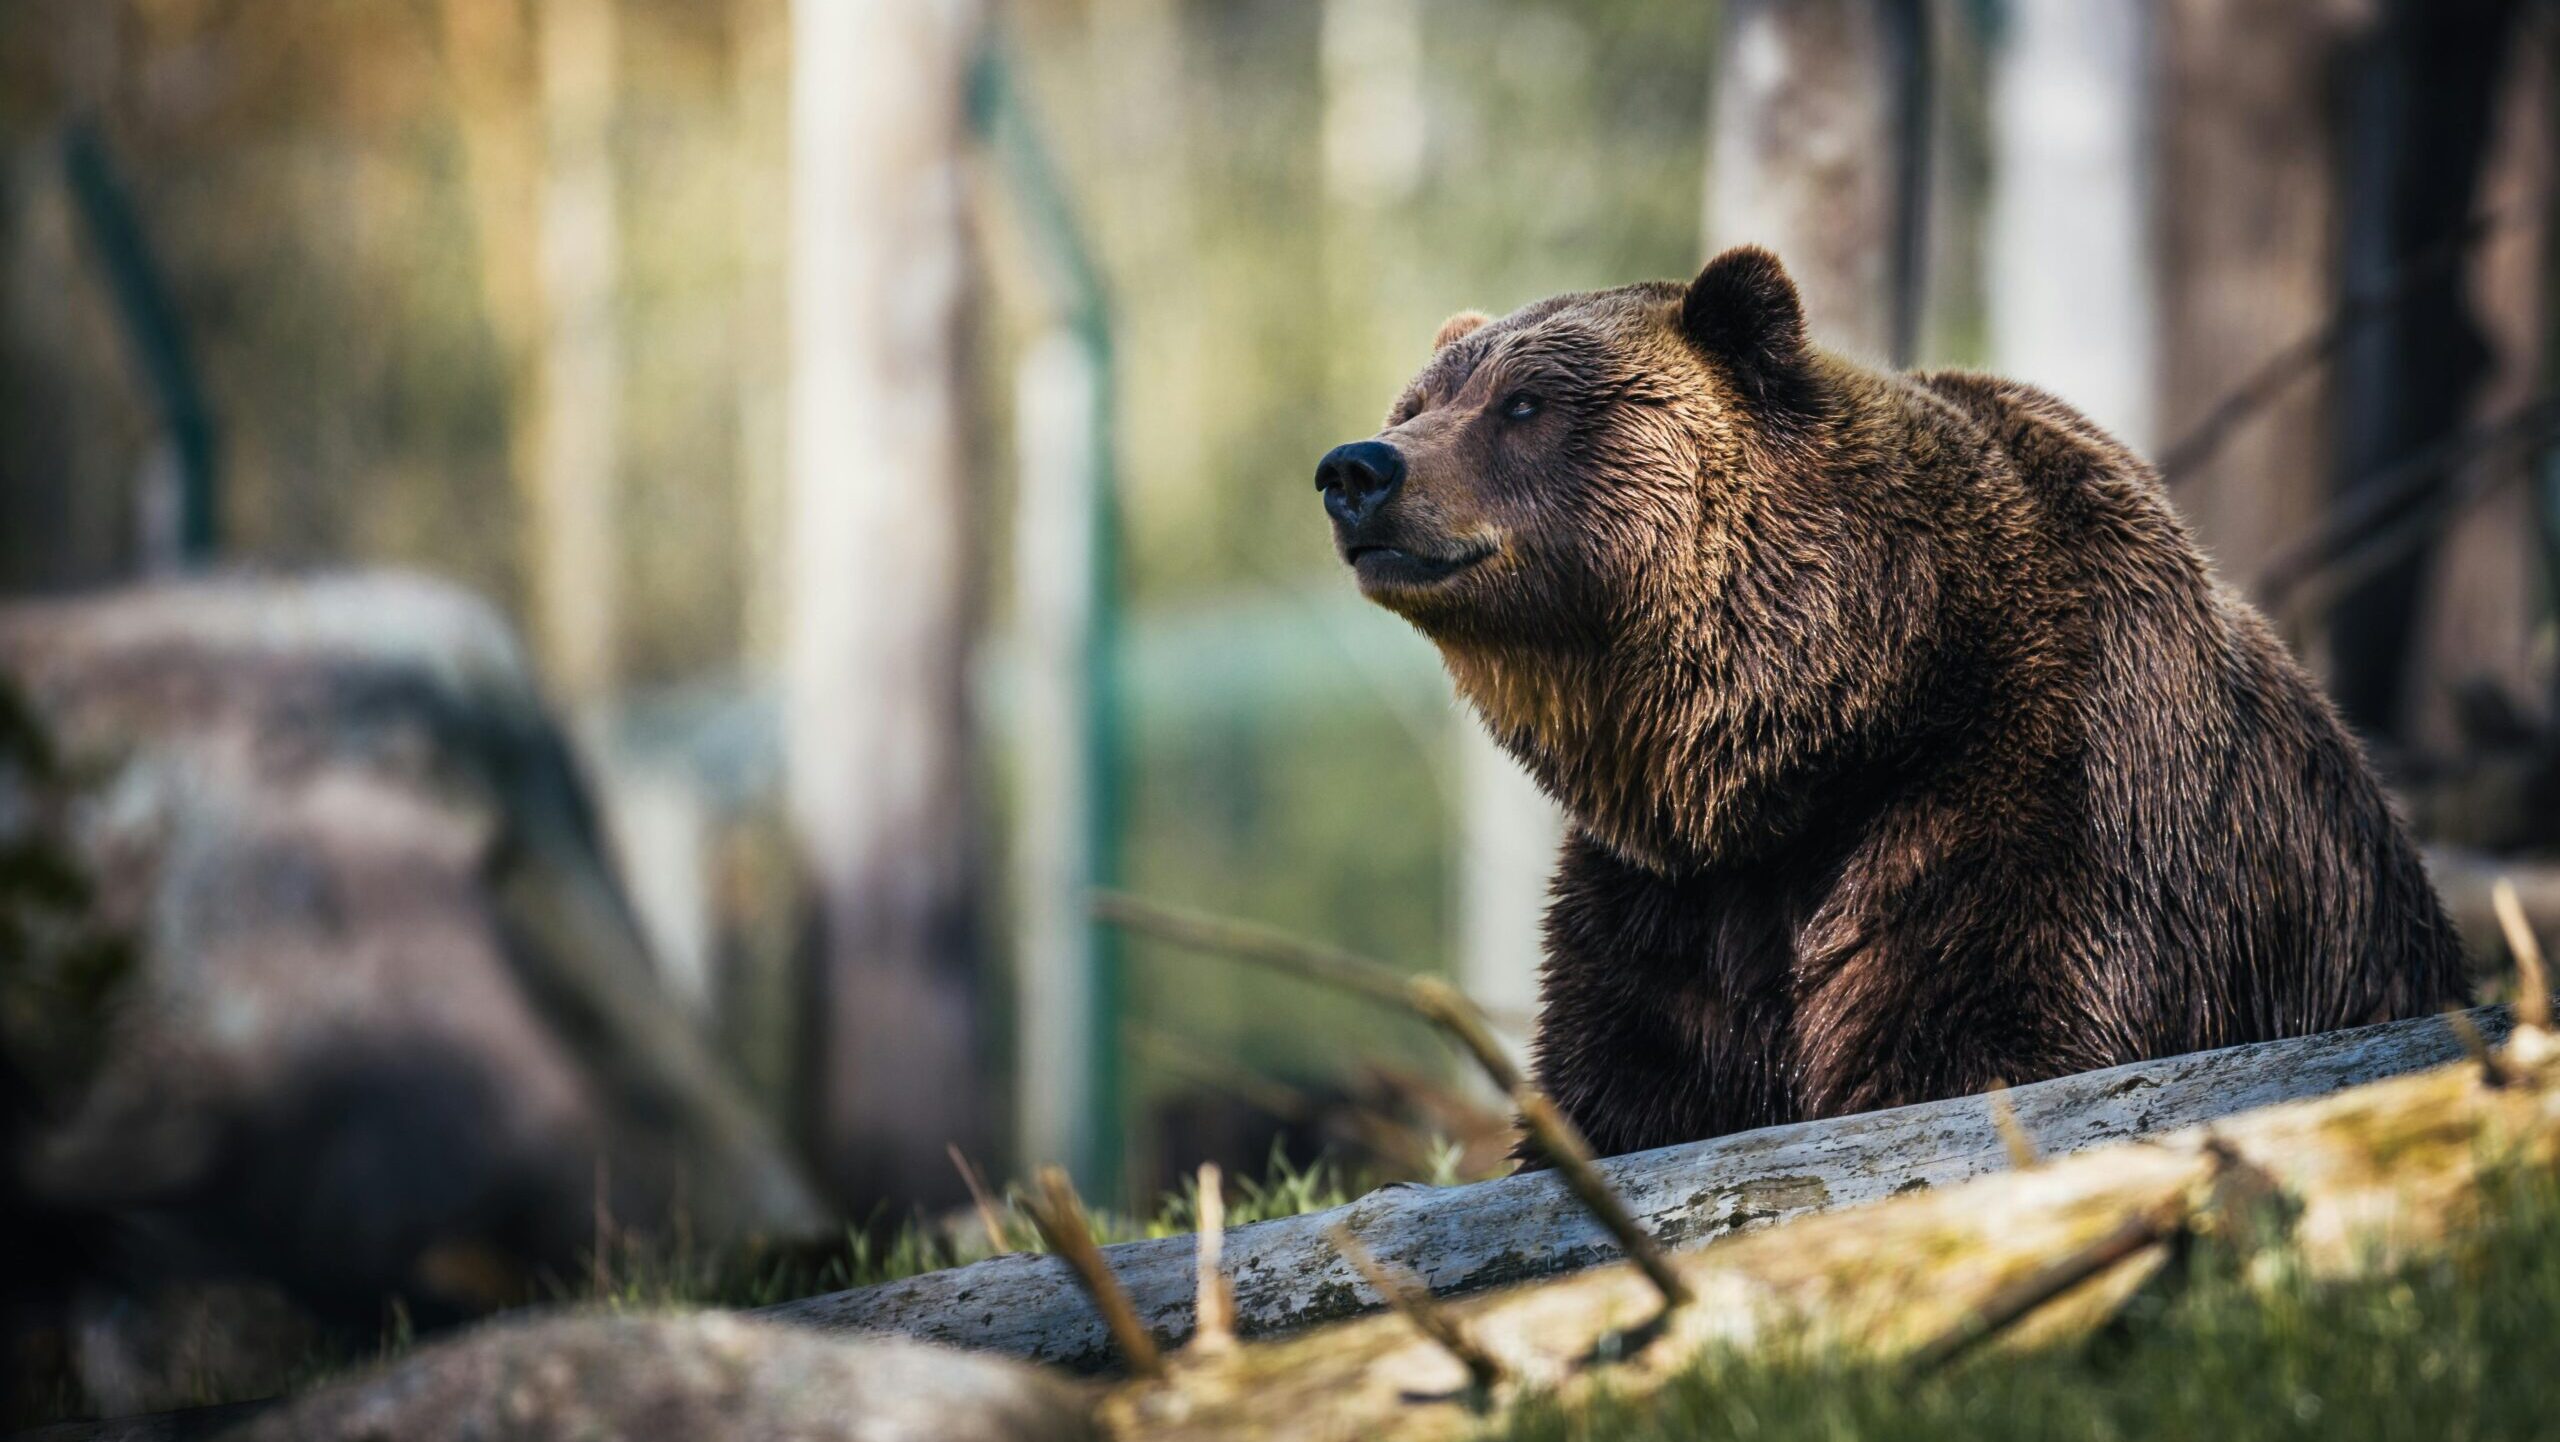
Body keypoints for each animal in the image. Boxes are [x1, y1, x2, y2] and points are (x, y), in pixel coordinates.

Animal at [1310, 248, 2467, 1162]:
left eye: (1524, 404)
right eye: (1416, 405)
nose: (1357, 468)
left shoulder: (2039, 796)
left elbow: (1980, 1040)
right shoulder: (1670, 901)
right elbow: (1629, 1084)